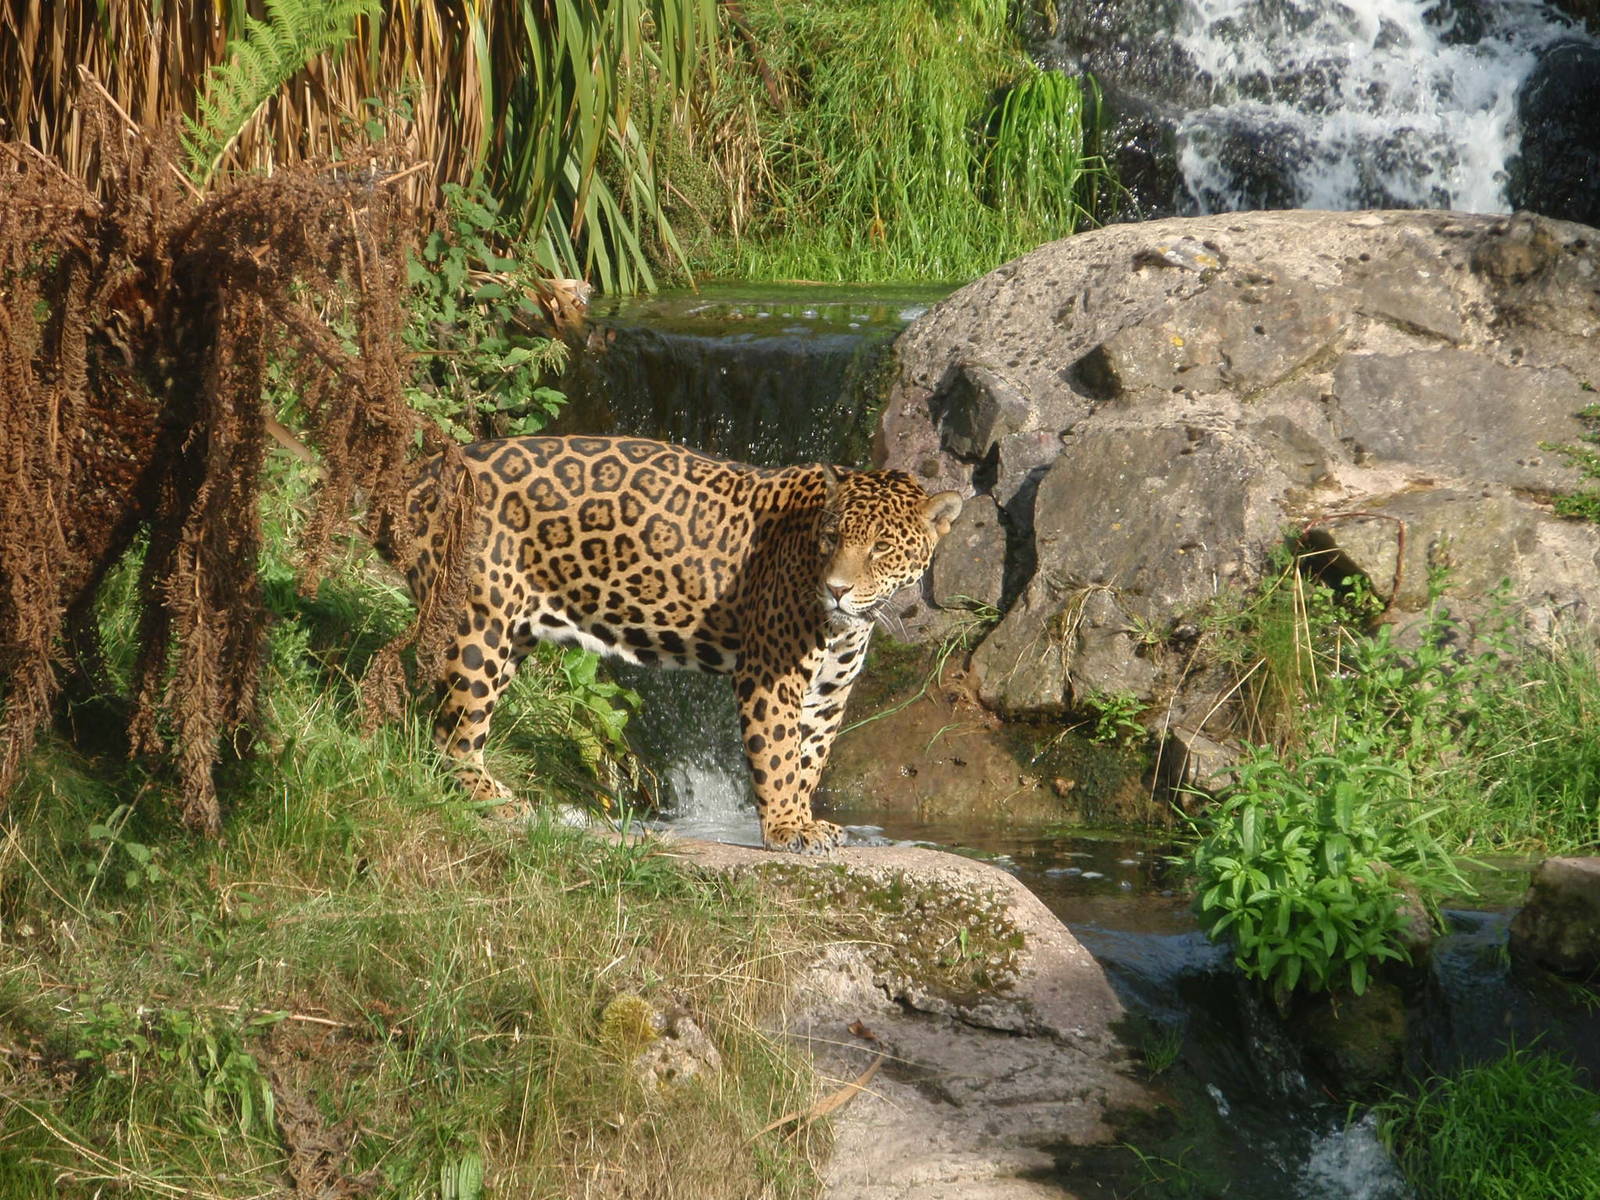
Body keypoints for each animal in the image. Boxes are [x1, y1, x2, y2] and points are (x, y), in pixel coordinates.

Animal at [402, 435, 962, 854]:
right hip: (478, 622)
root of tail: (421, 471)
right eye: (831, 539)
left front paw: (805, 820)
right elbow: (779, 755)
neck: (849, 622)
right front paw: (785, 829)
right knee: (452, 729)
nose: (836, 589)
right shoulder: (771, 674)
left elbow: (809, 760)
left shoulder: (829, 692)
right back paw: (494, 799)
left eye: (881, 548)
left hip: (508, 632)